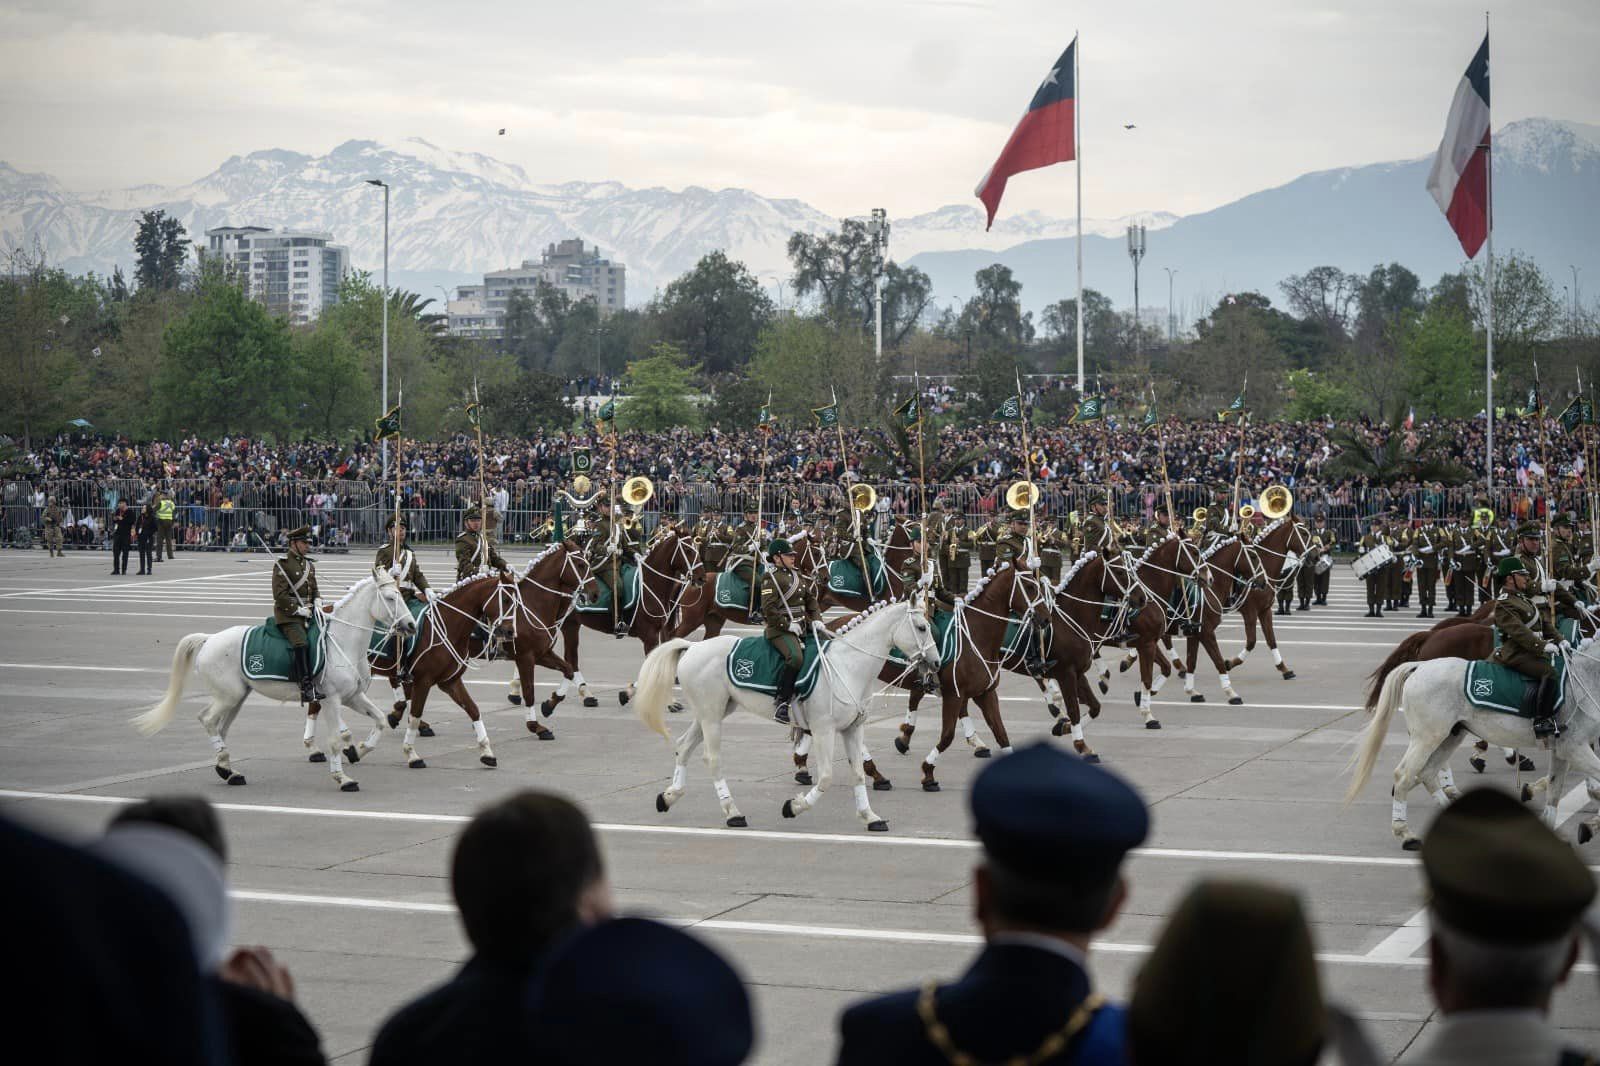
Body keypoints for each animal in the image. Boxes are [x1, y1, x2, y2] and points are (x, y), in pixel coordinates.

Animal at [132, 563, 419, 787]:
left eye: (400, 594)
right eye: (390, 598)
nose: (411, 626)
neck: (343, 641)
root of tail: (210, 638)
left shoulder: (353, 697)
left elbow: (380, 719)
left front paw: (360, 750)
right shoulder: (332, 700)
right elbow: (336, 739)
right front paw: (343, 778)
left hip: (237, 698)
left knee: (221, 727)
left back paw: (228, 770)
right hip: (228, 696)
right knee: (208, 720)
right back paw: (225, 766)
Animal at [633, 598, 940, 832]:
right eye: (922, 627)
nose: (936, 663)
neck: (848, 666)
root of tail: (693, 646)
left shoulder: (853, 729)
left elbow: (857, 774)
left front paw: (870, 817)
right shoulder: (823, 730)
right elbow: (826, 777)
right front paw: (794, 806)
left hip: (713, 712)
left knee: (684, 746)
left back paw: (669, 797)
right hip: (711, 717)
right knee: (712, 759)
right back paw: (732, 812)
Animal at [1350, 653, 1600, 845]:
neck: (1587, 678)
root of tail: (1421, 665)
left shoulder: (1563, 751)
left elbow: (1555, 790)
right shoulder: (1574, 747)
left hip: (1450, 736)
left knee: (1428, 773)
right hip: (1427, 737)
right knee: (1404, 775)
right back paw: (1406, 834)